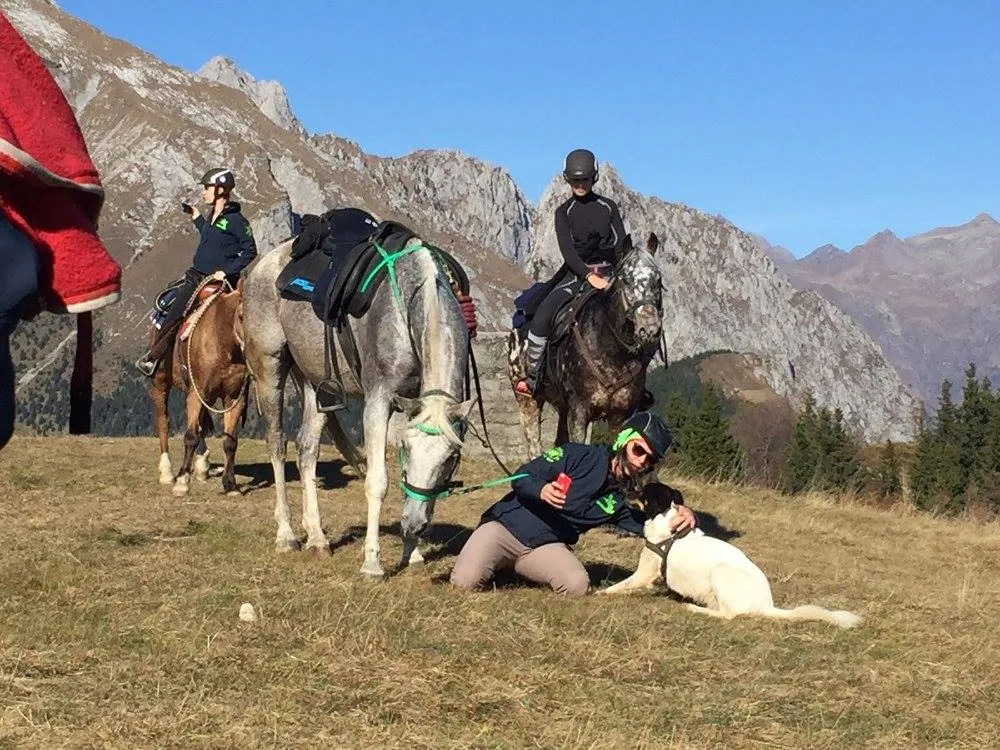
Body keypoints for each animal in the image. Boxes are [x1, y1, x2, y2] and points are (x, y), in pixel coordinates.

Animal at [148, 278, 249, 497]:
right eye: (241, 316)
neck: (222, 342)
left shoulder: (234, 398)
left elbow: (230, 441)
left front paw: (230, 484)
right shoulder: (197, 392)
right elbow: (190, 436)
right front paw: (182, 481)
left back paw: (203, 464)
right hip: (160, 383)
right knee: (163, 421)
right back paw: (167, 472)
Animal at [241, 236, 472, 577]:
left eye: (451, 458)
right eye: (407, 448)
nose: (415, 525)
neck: (407, 299)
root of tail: (262, 267)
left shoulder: (407, 402)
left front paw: (412, 553)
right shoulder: (378, 399)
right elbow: (377, 481)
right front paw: (372, 562)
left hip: (317, 385)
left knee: (306, 450)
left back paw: (317, 538)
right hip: (270, 371)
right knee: (277, 445)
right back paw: (286, 535)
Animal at [508, 232, 664, 457]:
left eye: (658, 280)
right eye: (626, 280)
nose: (649, 329)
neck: (613, 355)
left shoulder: (620, 416)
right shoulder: (579, 412)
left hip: (561, 405)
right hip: (527, 399)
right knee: (534, 446)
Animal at [598, 483, 862, 629]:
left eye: (642, 491)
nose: (624, 489)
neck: (669, 528)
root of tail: (767, 605)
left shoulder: (644, 572)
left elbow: (620, 586)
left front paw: (600, 593)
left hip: (721, 573)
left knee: (728, 615)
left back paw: (695, 609)